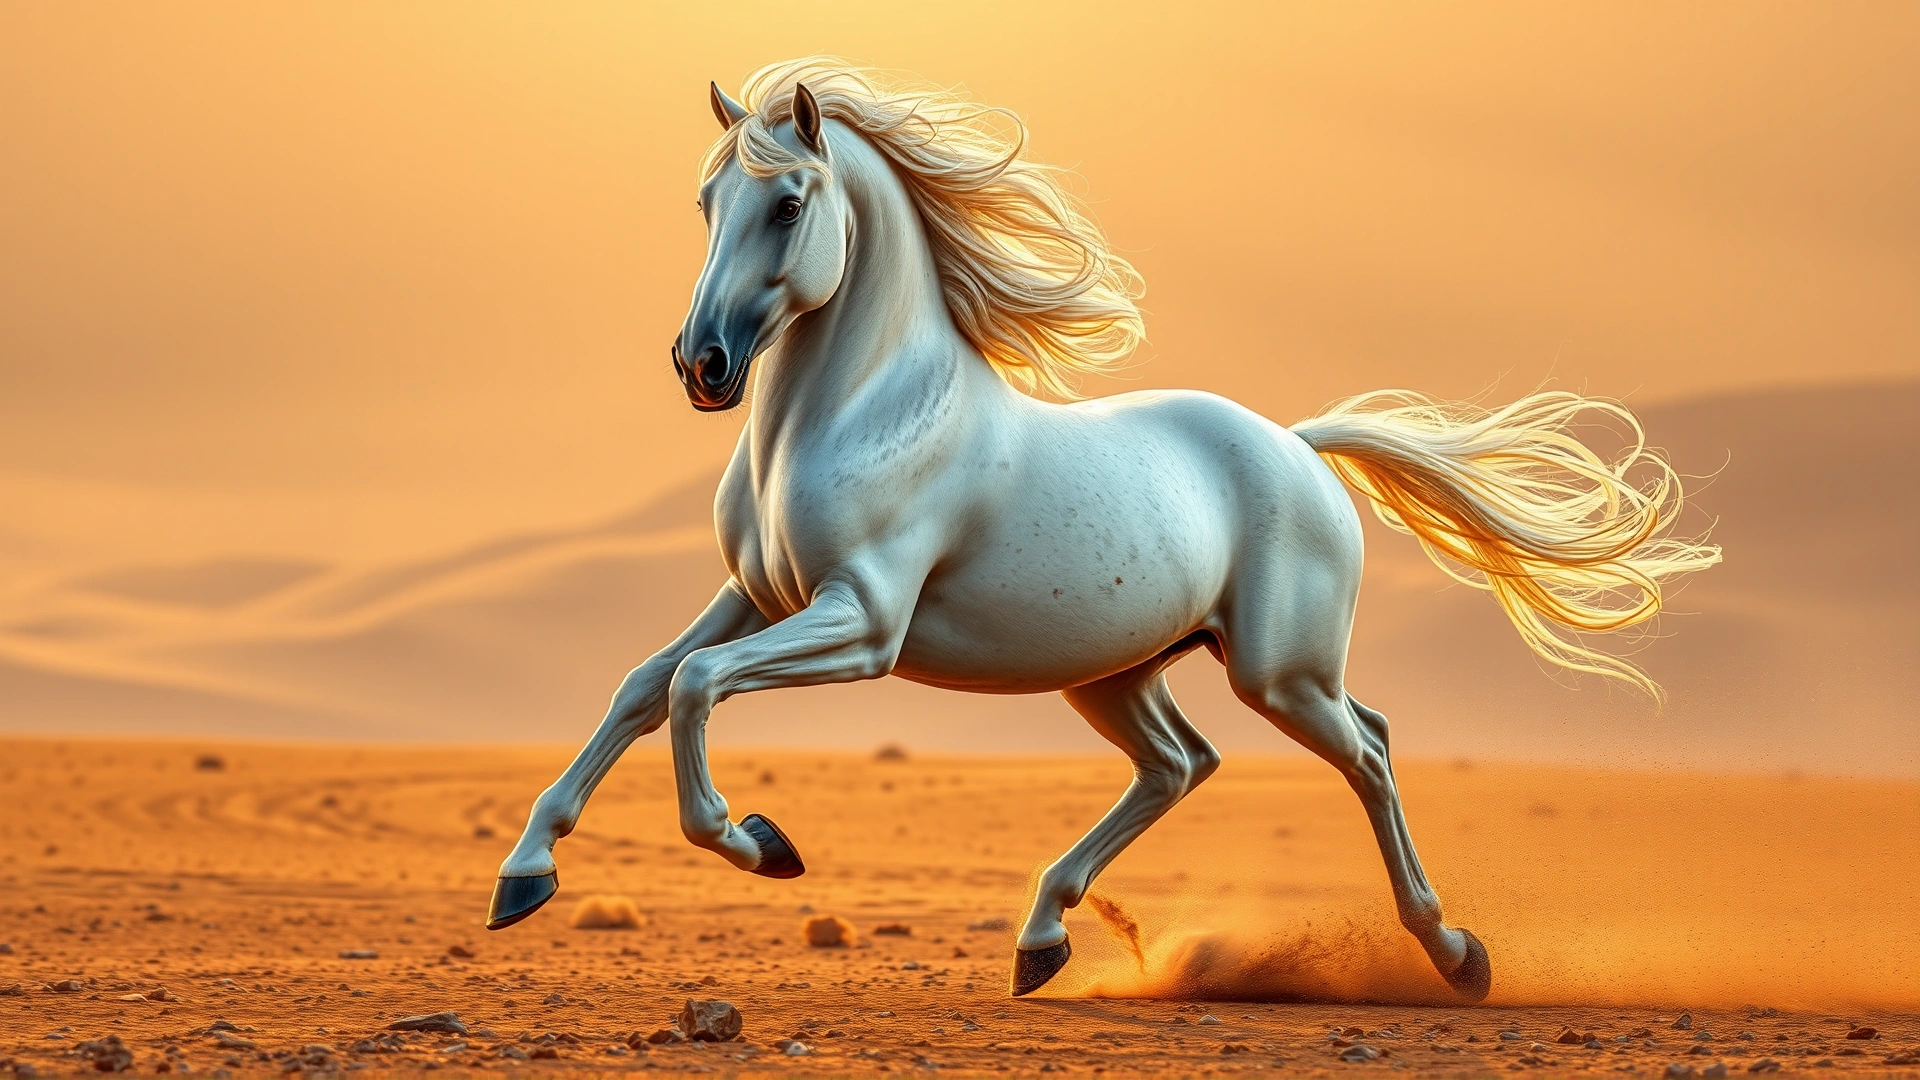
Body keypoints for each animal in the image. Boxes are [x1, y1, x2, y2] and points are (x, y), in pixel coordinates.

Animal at [485, 58, 1720, 1001]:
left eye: (787, 204)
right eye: (706, 206)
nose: (702, 367)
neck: (855, 412)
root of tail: (1299, 446)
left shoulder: (862, 623)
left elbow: (696, 689)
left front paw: (761, 842)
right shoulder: (758, 596)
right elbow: (645, 684)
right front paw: (523, 876)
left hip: (1279, 671)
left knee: (1365, 750)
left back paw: (1457, 954)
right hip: (1116, 671)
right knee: (1182, 764)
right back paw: (1042, 940)